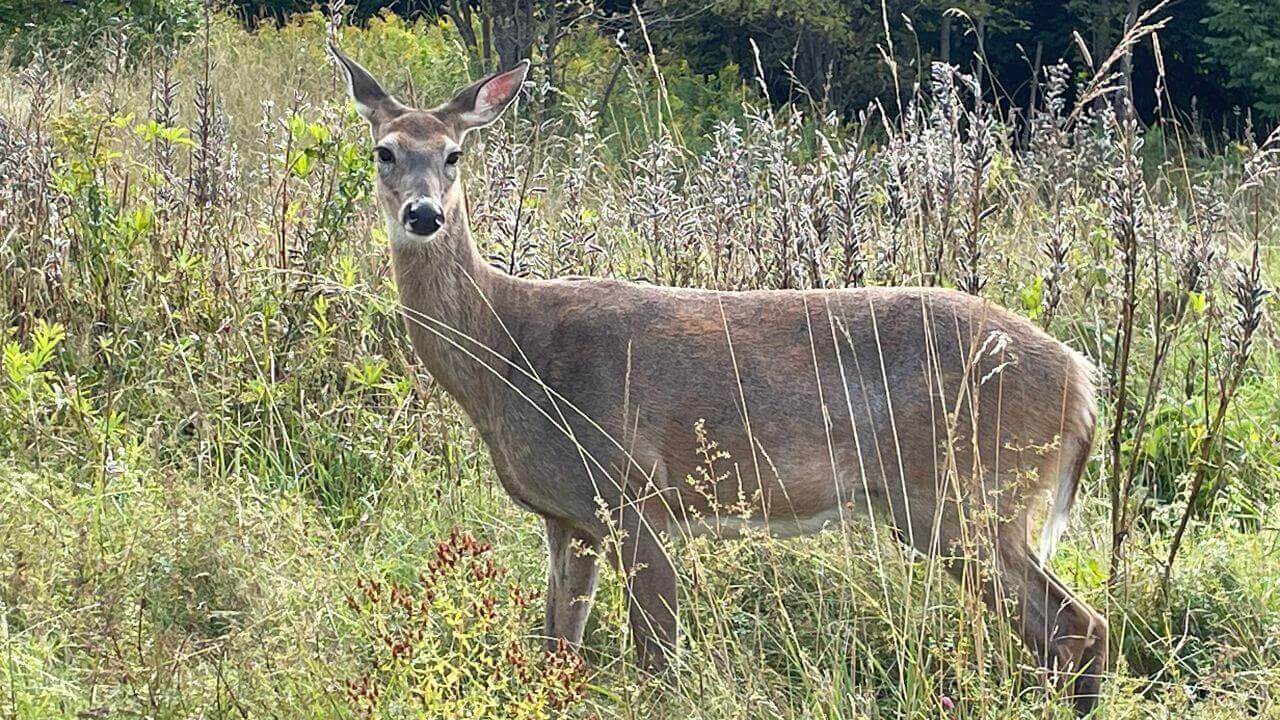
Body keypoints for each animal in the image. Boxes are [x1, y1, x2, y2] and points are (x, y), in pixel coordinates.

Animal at [328, 43, 1109, 715]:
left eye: (454, 154)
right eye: (384, 150)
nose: (424, 214)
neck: (512, 348)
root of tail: (1083, 381)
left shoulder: (633, 492)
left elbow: (657, 664)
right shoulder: (568, 517)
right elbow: (556, 653)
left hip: (966, 491)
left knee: (1078, 626)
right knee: (1061, 631)